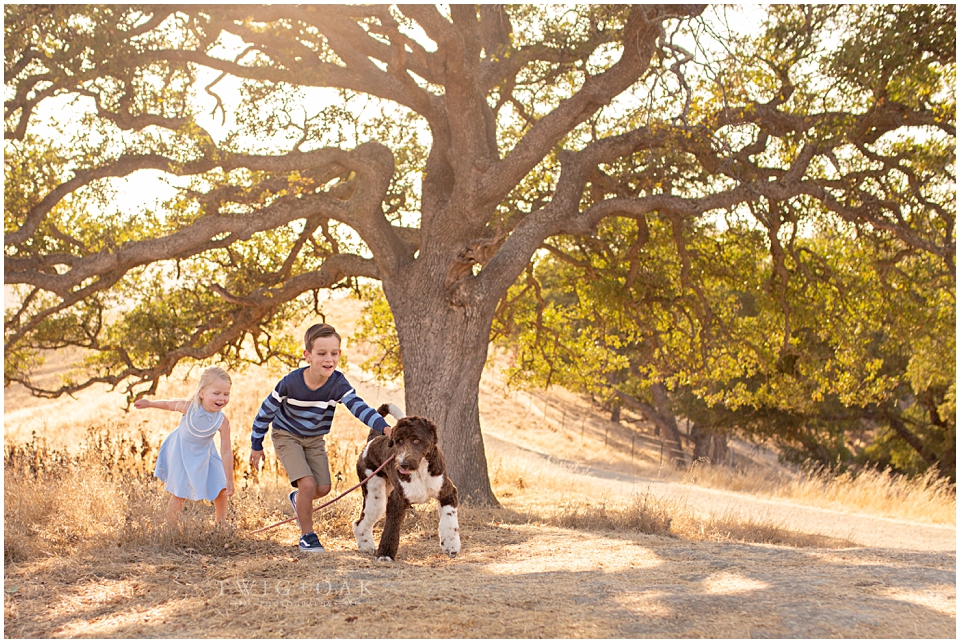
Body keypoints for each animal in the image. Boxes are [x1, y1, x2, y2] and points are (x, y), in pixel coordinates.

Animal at [352, 406, 462, 560]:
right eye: (398, 441)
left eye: (416, 440)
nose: (403, 464)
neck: (419, 472)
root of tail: (372, 441)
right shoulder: (396, 501)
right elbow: (391, 528)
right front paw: (385, 555)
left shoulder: (447, 492)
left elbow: (450, 520)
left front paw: (451, 545)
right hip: (374, 494)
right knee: (361, 522)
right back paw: (366, 545)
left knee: (360, 522)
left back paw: (366, 546)